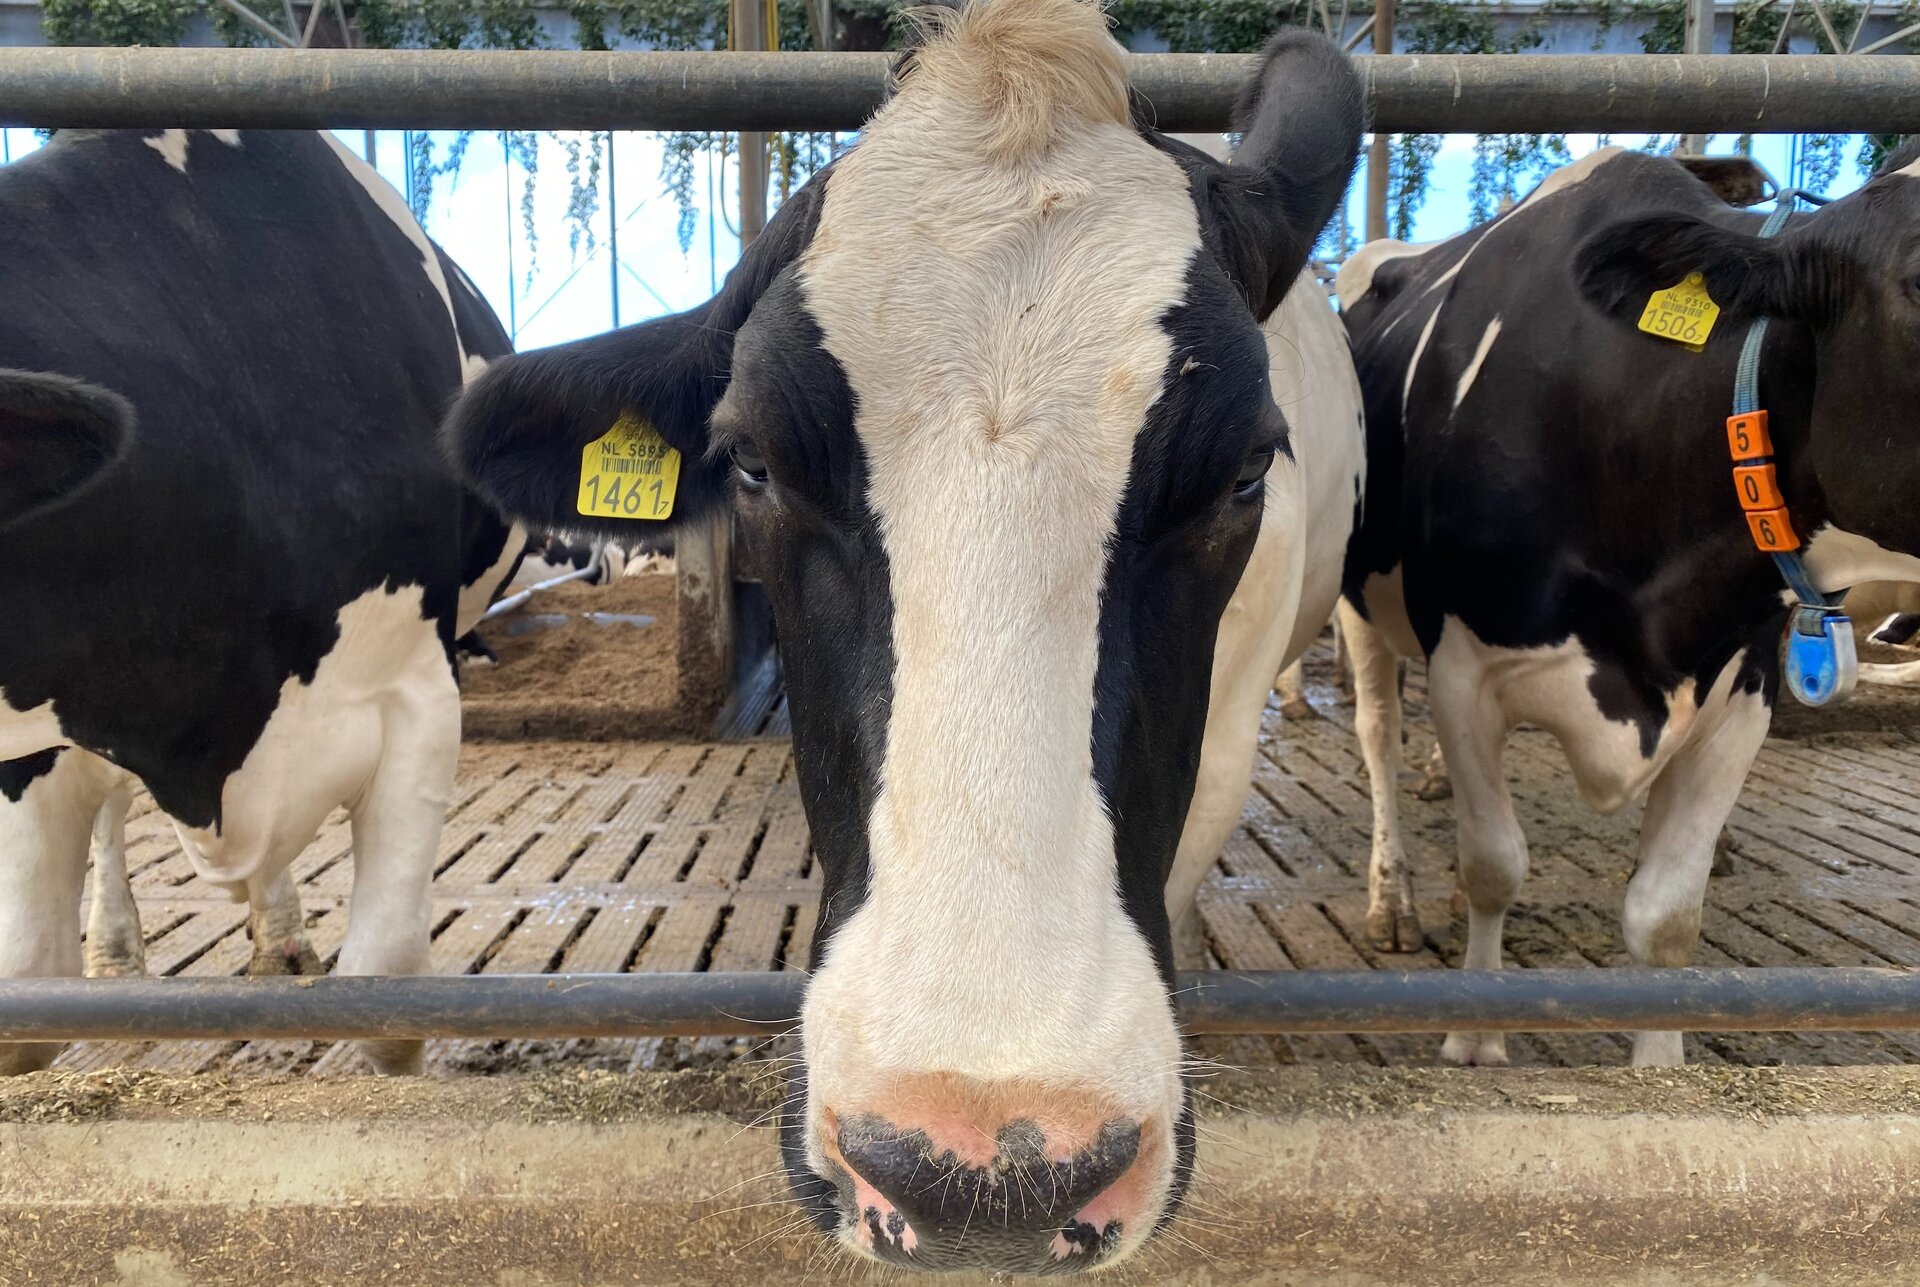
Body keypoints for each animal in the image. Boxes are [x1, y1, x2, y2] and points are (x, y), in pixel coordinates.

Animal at [1328, 141, 1920, 1068]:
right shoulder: (1466, 669)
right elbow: (1494, 863)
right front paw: (1476, 1036)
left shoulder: (1740, 694)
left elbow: (1667, 914)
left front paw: (1661, 1066)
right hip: (1361, 608)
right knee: (1378, 732)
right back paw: (1394, 897)